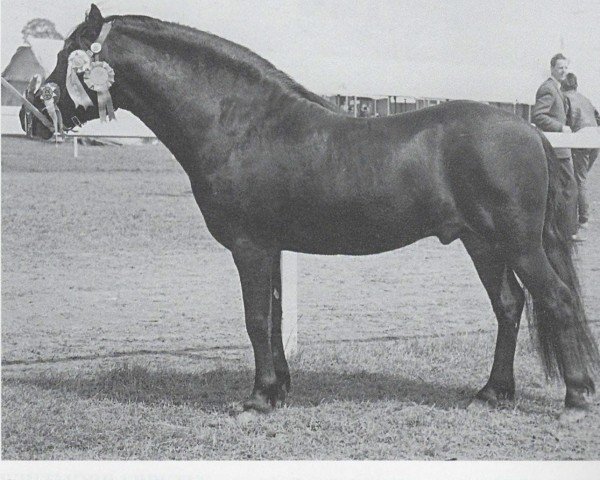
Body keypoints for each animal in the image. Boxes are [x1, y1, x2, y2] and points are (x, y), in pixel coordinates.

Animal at [22, 4, 596, 416]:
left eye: (70, 54)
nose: (30, 117)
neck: (239, 123)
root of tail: (529, 131)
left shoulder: (250, 246)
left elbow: (255, 318)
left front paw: (256, 400)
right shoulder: (271, 247)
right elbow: (275, 317)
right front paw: (278, 391)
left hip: (517, 242)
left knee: (559, 299)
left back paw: (575, 399)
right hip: (482, 242)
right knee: (510, 305)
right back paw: (492, 393)